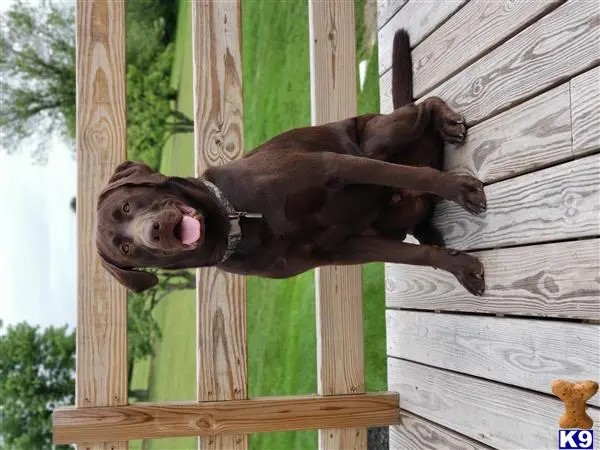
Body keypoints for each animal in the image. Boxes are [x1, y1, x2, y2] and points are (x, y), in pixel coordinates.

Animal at [95, 28, 488, 296]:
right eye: (125, 248)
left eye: (128, 205)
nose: (156, 231)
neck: (239, 220)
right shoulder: (343, 248)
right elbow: (415, 257)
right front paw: (461, 267)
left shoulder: (334, 167)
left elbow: (414, 175)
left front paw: (460, 189)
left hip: (376, 136)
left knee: (423, 109)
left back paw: (445, 123)